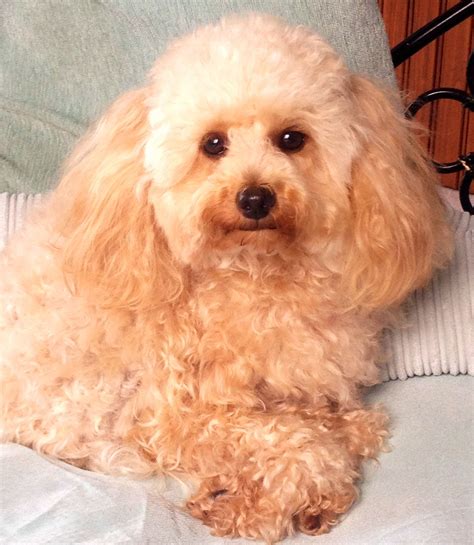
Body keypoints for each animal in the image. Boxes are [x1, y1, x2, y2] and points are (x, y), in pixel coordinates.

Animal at [0, 14, 452, 540]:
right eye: (212, 144)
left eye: (292, 139)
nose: (255, 198)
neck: (254, 273)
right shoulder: (168, 419)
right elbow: (306, 443)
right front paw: (265, 503)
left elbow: (350, 424)